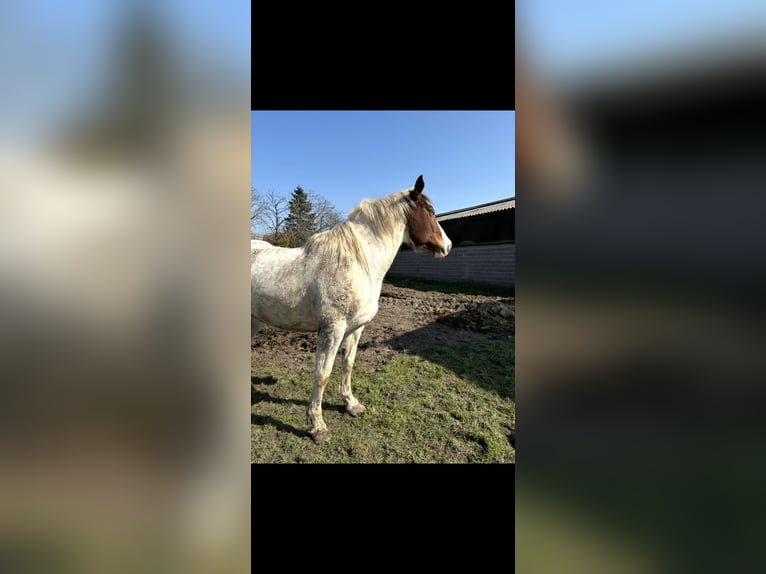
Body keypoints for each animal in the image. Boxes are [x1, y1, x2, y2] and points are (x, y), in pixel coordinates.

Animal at [251, 175, 452, 443]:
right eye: (430, 211)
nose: (447, 246)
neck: (358, 263)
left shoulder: (356, 328)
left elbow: (348, 364)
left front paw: (351, 404)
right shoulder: (332, 329)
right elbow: (322, 374)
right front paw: (317, 426)